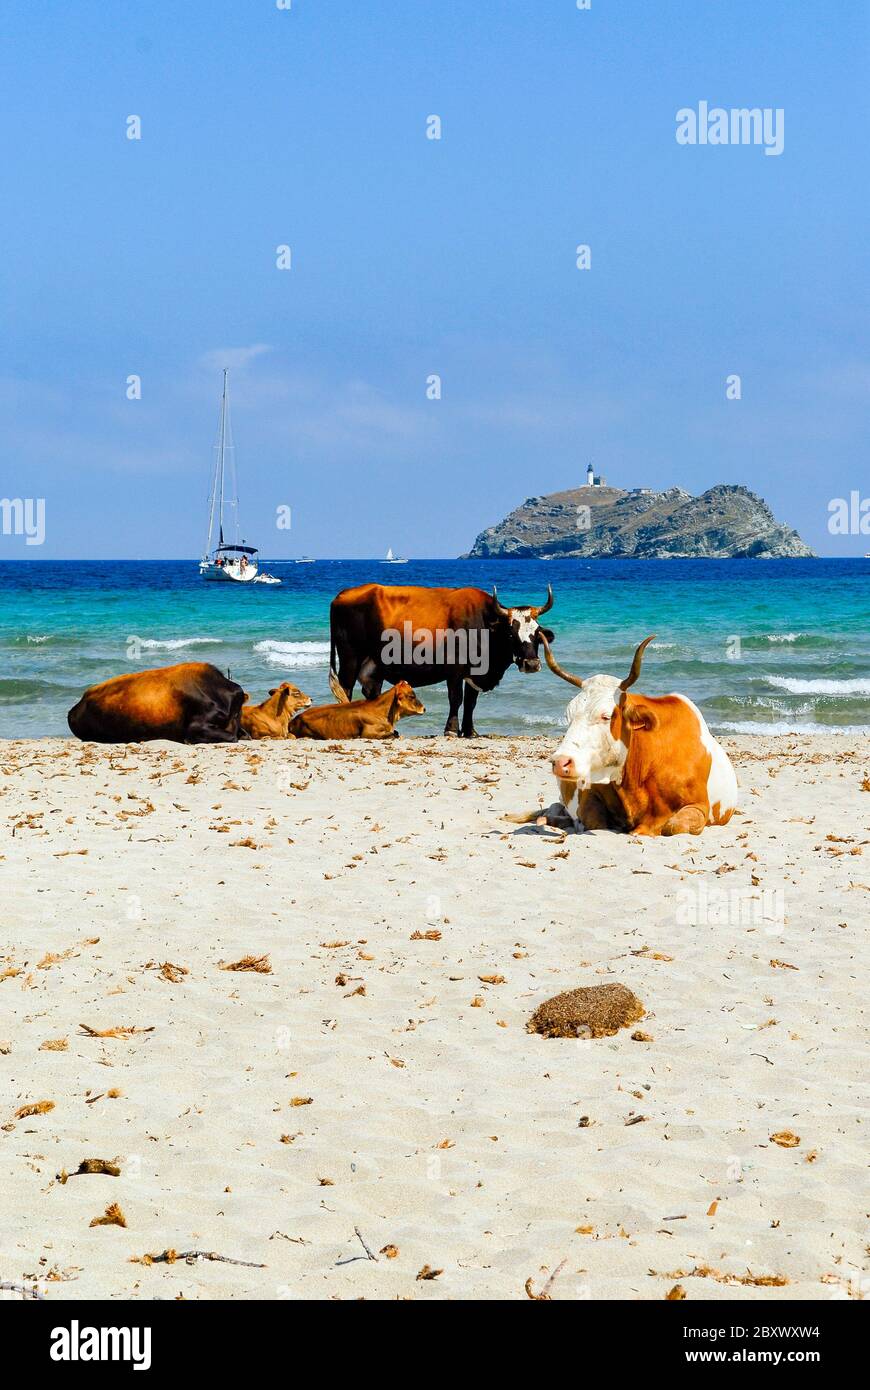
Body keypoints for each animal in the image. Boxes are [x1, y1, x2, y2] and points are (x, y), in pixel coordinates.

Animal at [536, 633, 733, 834]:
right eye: (568, 715)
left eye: (606, 716)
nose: (560, 762)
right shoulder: (589, 795)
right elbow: (594, 821)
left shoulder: (700, 805)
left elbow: (673, 826)